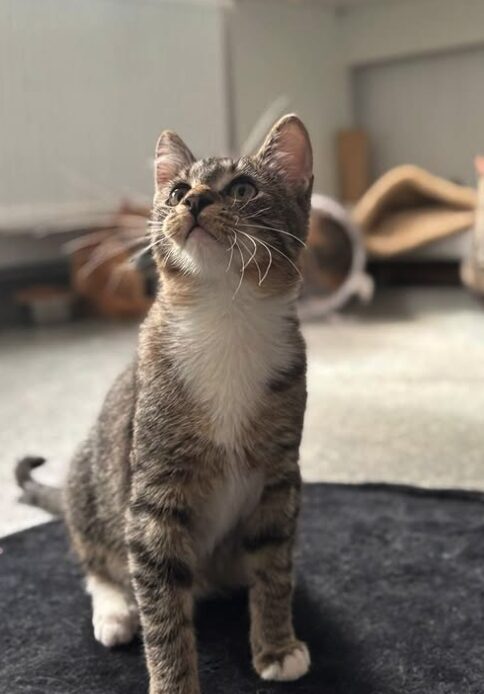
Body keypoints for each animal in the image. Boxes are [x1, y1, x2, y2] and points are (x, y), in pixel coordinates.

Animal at [15, 115, 314, 694]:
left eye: (242, 189)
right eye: (176, 191)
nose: (193, 201)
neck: (224, 318)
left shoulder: (280, 478)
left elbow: (274, 564)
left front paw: (276, 644)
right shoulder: (153, 491)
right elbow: (161, 603)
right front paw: (172, 679)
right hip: (92, 478)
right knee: (95, 558)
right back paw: (114, 608)